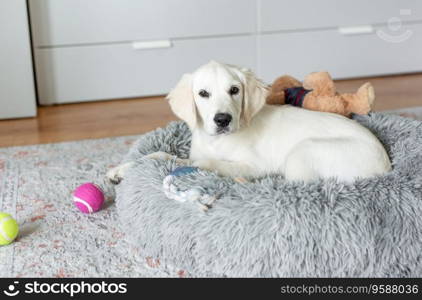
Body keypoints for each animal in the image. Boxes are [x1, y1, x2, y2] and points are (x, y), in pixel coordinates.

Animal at [107, 61, 390, 183]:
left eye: (234, 90)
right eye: (203, 93)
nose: (222, 119)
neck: (217, 141)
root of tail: (386, 166)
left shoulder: (256, 165)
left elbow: (207, 163)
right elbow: (160, 155)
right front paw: (121, 170)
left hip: (303, 151)